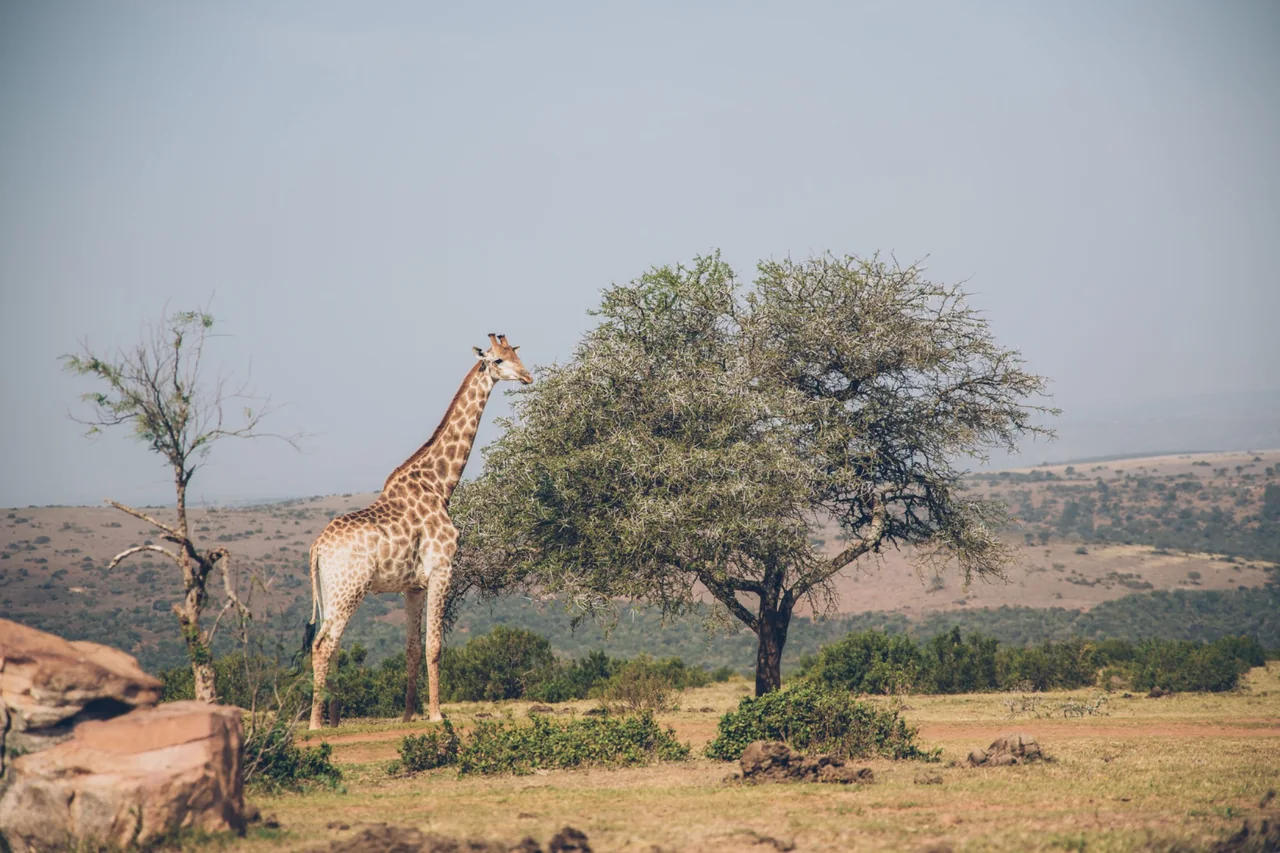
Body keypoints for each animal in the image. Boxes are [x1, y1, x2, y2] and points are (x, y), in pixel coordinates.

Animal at [304, 334, 532, 729]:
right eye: (499, 360)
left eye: (516, 354)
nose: (527, 376)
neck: (440, 485)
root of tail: (317, 546)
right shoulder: (442, 570)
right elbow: (435, 646)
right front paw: (437, 714)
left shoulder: (412, 586)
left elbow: (411, 649)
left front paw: (409, 715)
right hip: (350, 588)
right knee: (323, 645)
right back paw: (316, 723)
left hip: (334, 590)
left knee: (331, 644)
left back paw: (333, 720)